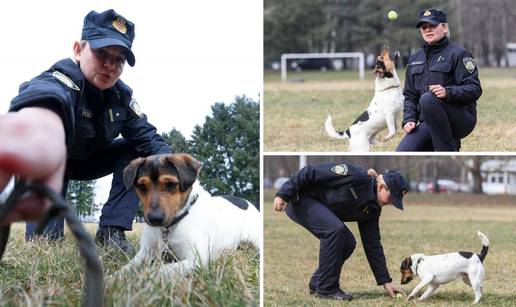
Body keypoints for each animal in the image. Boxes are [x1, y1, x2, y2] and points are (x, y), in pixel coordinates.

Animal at [119, 153, 260, 276]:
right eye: (142, 186)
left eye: (170, 184)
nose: (155, 219)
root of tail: (247, 202)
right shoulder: (145, 252)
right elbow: (126, 268)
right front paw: (116, 277)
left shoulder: (196, 260)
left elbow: (160, 269)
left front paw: (143, 276)